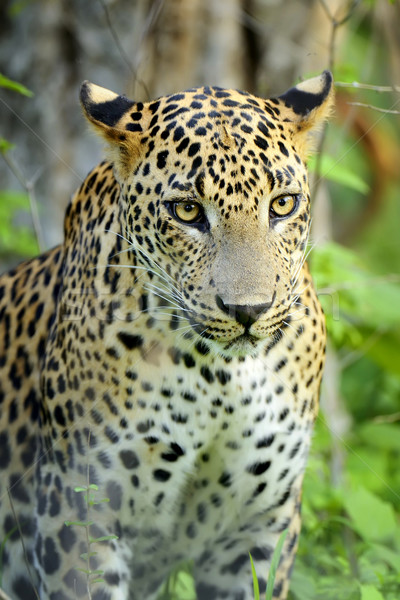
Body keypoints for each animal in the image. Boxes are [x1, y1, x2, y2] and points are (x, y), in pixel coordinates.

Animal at [0, 71, 332, 600]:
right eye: (188, 212)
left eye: (283, 204)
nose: (249, 310)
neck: (219, 375)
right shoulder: (77, 515)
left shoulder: (257, 529)